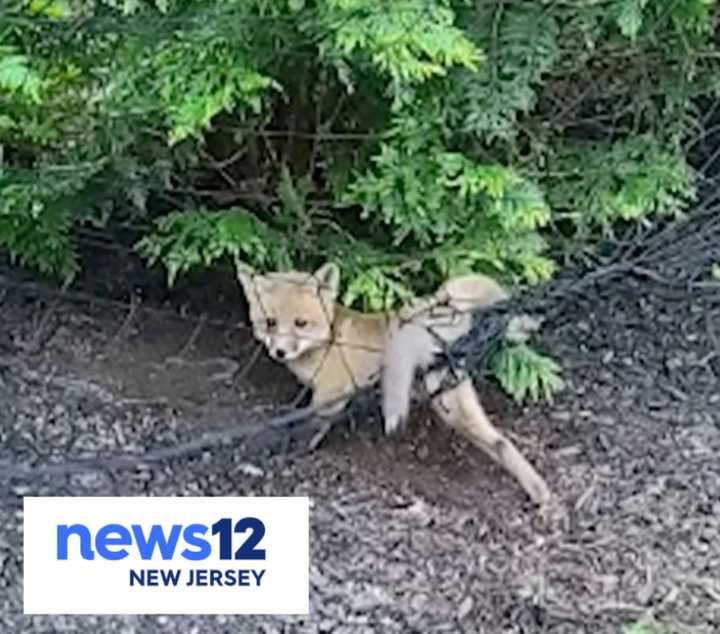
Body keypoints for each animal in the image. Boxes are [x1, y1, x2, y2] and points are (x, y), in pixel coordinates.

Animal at [236, 258, 552, 504]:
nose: (279, 352)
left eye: (300, 324)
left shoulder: (332, 394)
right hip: (450, 401)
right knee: (498, 442)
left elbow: (312, 428)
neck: (328, 342)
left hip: (448, 402)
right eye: (270, 323)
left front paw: (296, 453)